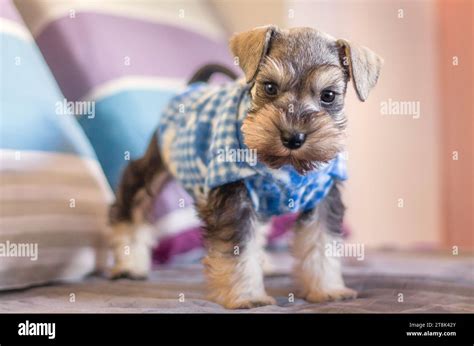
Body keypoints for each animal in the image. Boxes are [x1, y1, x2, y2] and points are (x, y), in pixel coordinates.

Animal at [107, 25, 382, 310]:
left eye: (328, 95)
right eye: (269, 86)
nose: (293, 138)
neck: (285, 168)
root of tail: (193, 86)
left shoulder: (324, 197)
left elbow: (322, 245)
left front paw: (327, 290)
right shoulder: (234, 199)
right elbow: (238, 251)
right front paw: (247, 296)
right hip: (154, 165)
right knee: (132, 204)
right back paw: (129, 265)